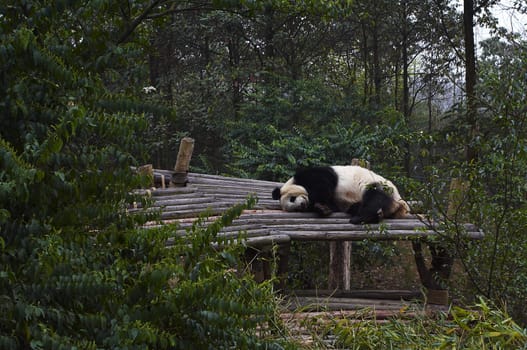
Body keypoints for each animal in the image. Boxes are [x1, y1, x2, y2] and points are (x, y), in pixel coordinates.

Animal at [272, 165, 412, 224]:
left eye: (292, 198)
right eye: (295, 209)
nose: (301, 205)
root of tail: (399, 202)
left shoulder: (313, 175)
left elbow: (323, 186)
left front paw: (316, 203)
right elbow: (331, 204)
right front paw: (322, 208)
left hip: (379, 186)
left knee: (374, 197)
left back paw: (360, 218)